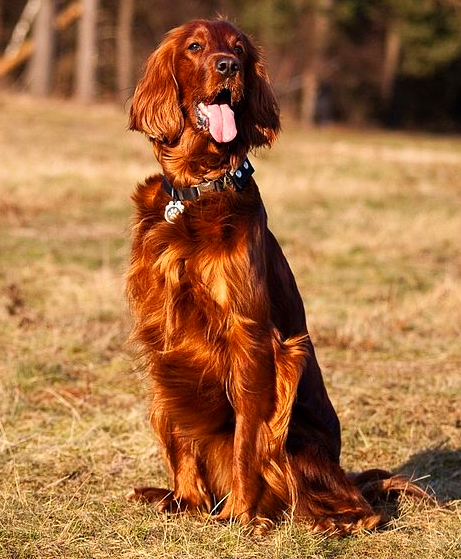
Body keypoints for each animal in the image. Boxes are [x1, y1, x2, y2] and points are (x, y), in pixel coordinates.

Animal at [125, 18, 424, 532]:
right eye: (195, 46)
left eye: (240, 49)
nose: (228, 66)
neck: (198, 190)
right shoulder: (164, 331)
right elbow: (179, 428)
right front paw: (187, 502)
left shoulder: (251, 337)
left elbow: (248, 436)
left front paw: (243, 516)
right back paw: (170, 496)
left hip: (302, 441)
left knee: (361, 506)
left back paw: (318, 519)